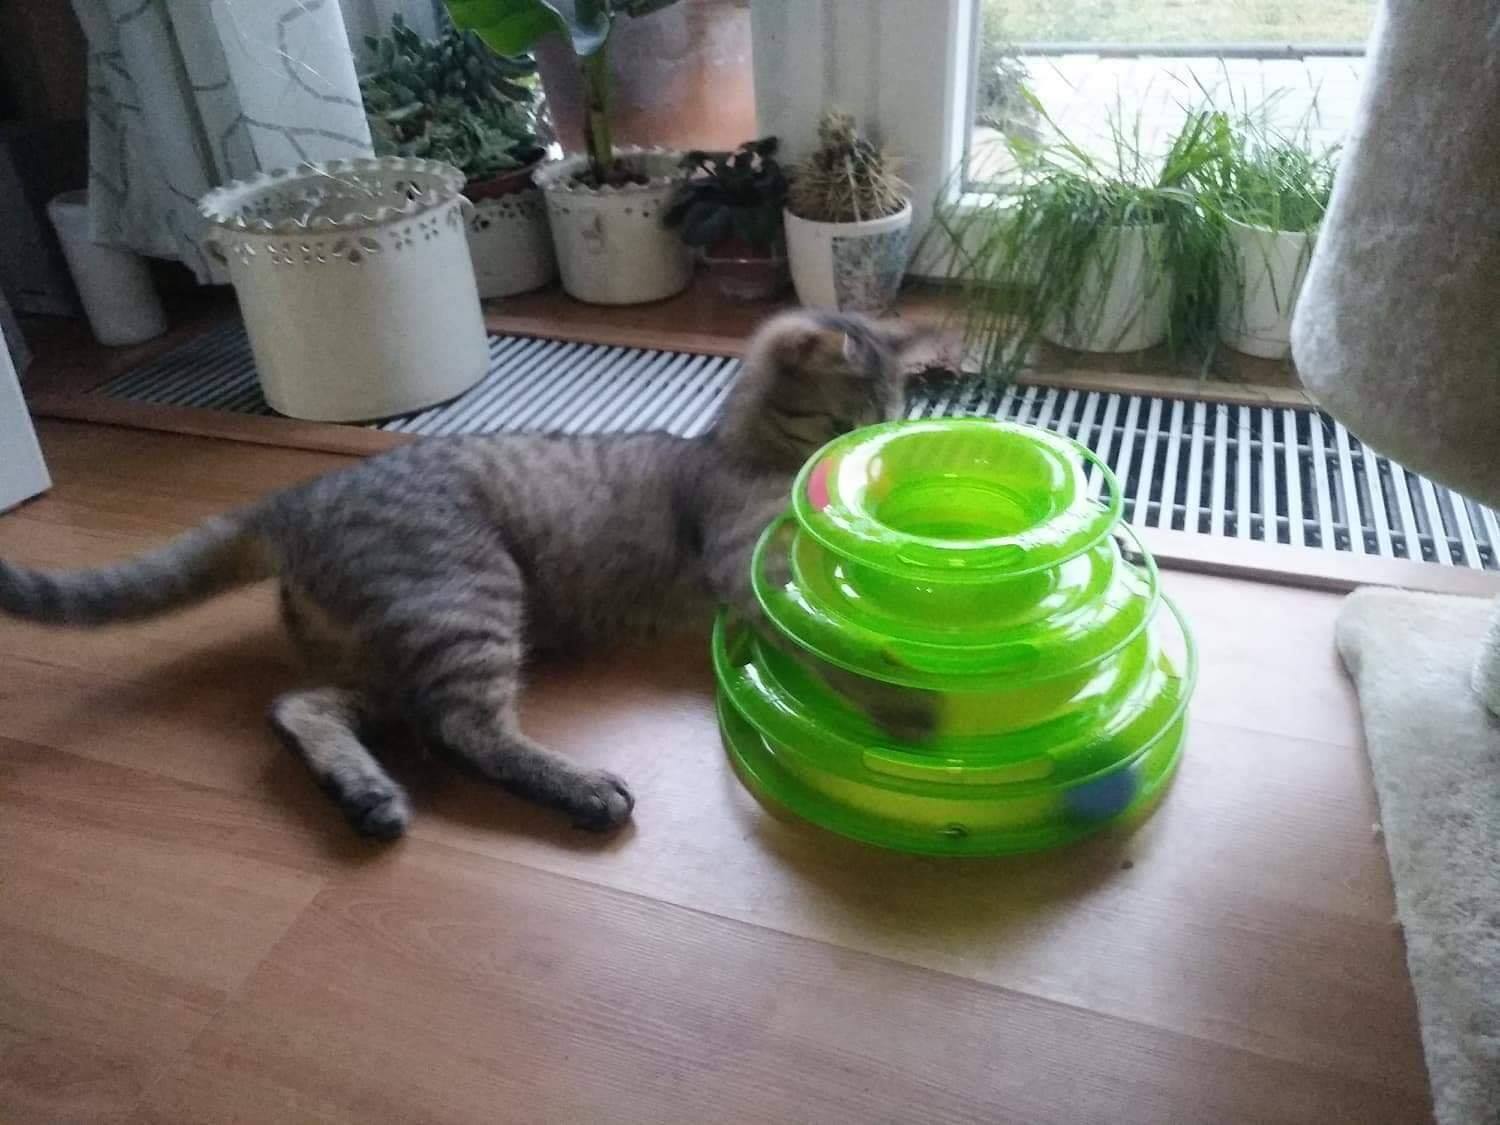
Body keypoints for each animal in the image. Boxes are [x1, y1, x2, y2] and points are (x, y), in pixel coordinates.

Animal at [0, 311, 927, 840]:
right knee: (460, 729)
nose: (858, 457)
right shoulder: (749, 565)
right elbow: (828, 634)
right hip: (465, 598)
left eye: (890, 418)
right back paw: (584, 790)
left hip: (389, 649)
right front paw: (903, 697)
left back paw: (365, 795)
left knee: (300, 706)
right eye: (848, 420)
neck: (737, 445)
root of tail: (295, 500)